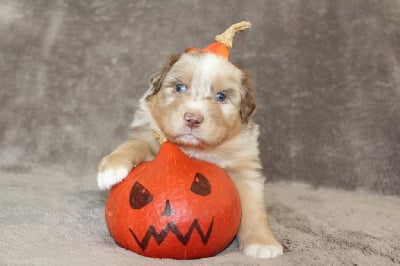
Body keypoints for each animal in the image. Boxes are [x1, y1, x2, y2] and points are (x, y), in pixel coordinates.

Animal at [97, 50, 282, 258]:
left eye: (221, 97)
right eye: (179, 88)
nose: (193, 119)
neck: (194, 149)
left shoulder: (245, 167)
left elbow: (253, 206)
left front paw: (262, 242)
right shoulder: (148, 137)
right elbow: (135, 144)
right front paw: (112, 168)